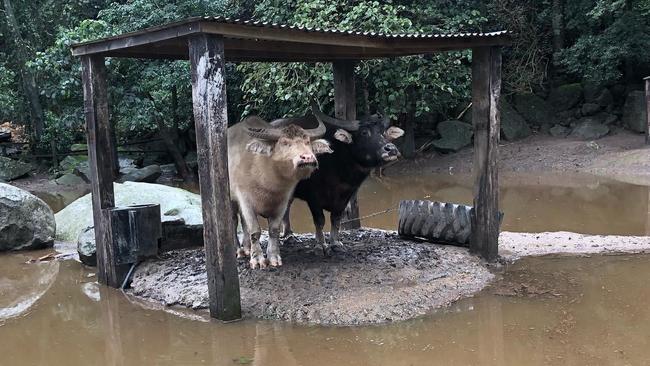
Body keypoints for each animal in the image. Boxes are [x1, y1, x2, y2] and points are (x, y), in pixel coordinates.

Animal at [227, 116, 330, 268]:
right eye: (284, 142)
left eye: (307, 142)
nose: (308, 157)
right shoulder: (245, 199)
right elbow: (254, 231)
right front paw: (257, 259)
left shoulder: (282, 202)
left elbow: (274, 230)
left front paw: (273, 257)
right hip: (231, 198)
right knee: (234, 221)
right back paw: (239, 250)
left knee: (244, 224)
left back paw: (246, 248)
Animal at [270, 100, 402, 254]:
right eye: (364, 132)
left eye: (384, 133)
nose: (391, 149)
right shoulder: (313, 197)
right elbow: (320, 220)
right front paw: (320, 244)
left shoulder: (345, 197)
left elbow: (336, 219)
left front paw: (335, 243)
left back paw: (289, 235)